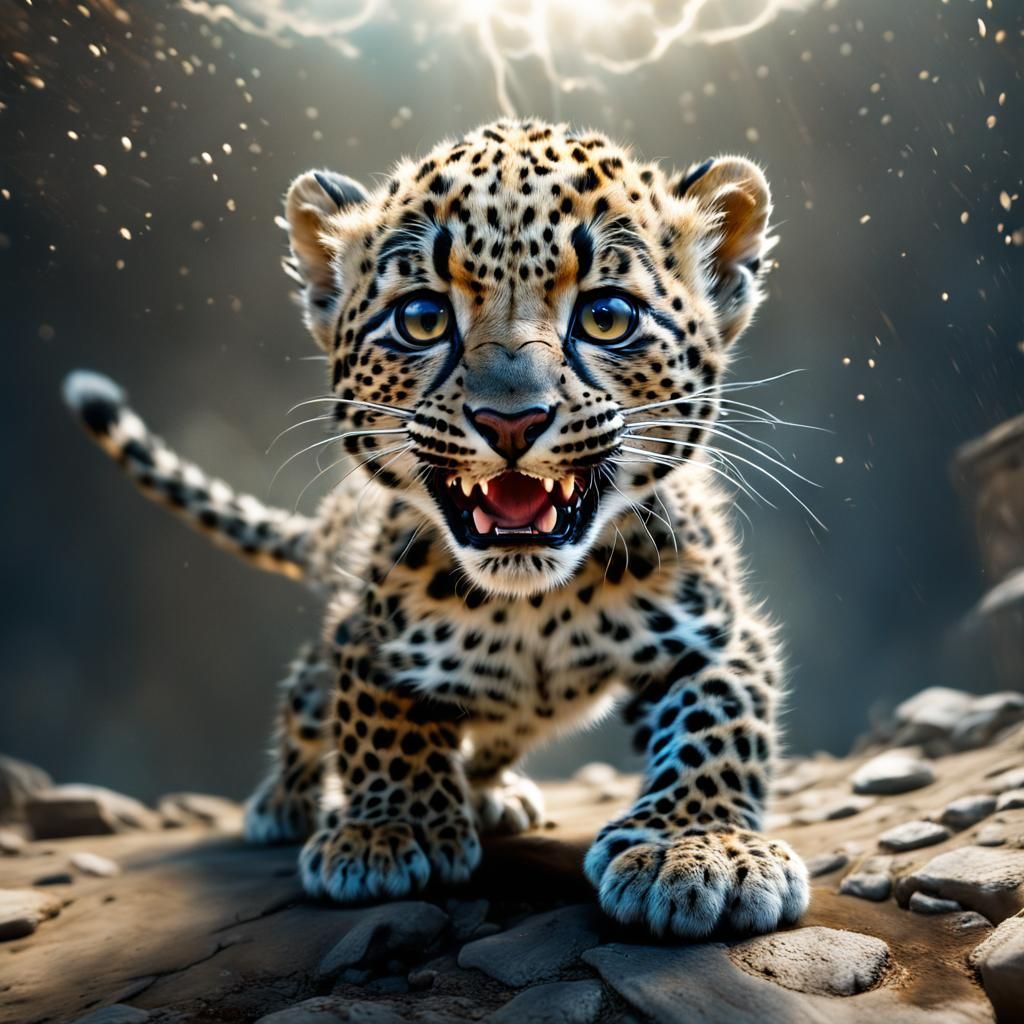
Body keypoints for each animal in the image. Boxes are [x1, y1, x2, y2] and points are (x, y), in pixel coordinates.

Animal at [64, 117, 810, 938]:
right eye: (422, 319)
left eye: (607, 316)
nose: (510, 422)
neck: (536, 606)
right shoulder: (365, 632)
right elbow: (379, 714)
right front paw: (392, 828)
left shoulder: (716, 632)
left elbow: (720, 720)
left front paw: (698, 848)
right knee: (308, 700)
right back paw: (286, 802)